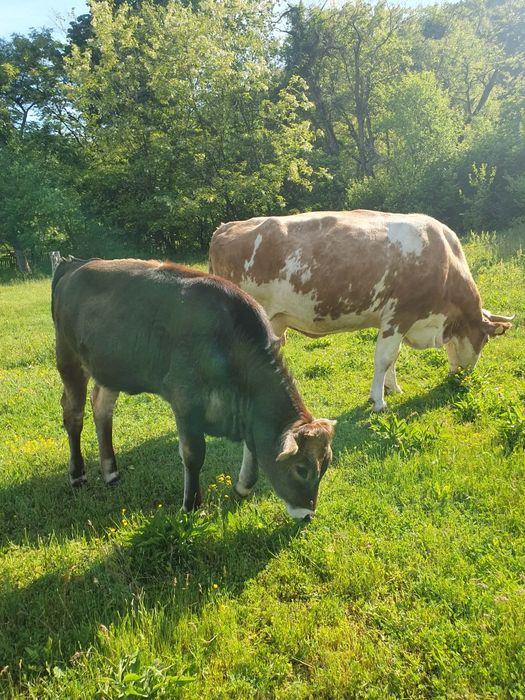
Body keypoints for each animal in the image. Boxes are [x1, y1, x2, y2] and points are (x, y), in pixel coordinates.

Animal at [52, 257, 336, 520]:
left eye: (325, 465)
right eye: (302, 468)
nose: (307, 514)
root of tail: (73, 264)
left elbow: (252, 447)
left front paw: (243, 486)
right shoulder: (186, 401)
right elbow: (193, 454)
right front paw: (192, 506)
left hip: (111, 368)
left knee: (102, 408)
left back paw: (111, 471)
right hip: (68, 358)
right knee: (74, 415)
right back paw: (77, 475)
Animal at [209, 210, 513, 411]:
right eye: (485, 340)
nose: (463, 377)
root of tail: (226, 227)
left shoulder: (396, 322)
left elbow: (394, 358)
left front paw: (393, 388)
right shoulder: (399, 316)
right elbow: (384, 358)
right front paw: (378, 400)